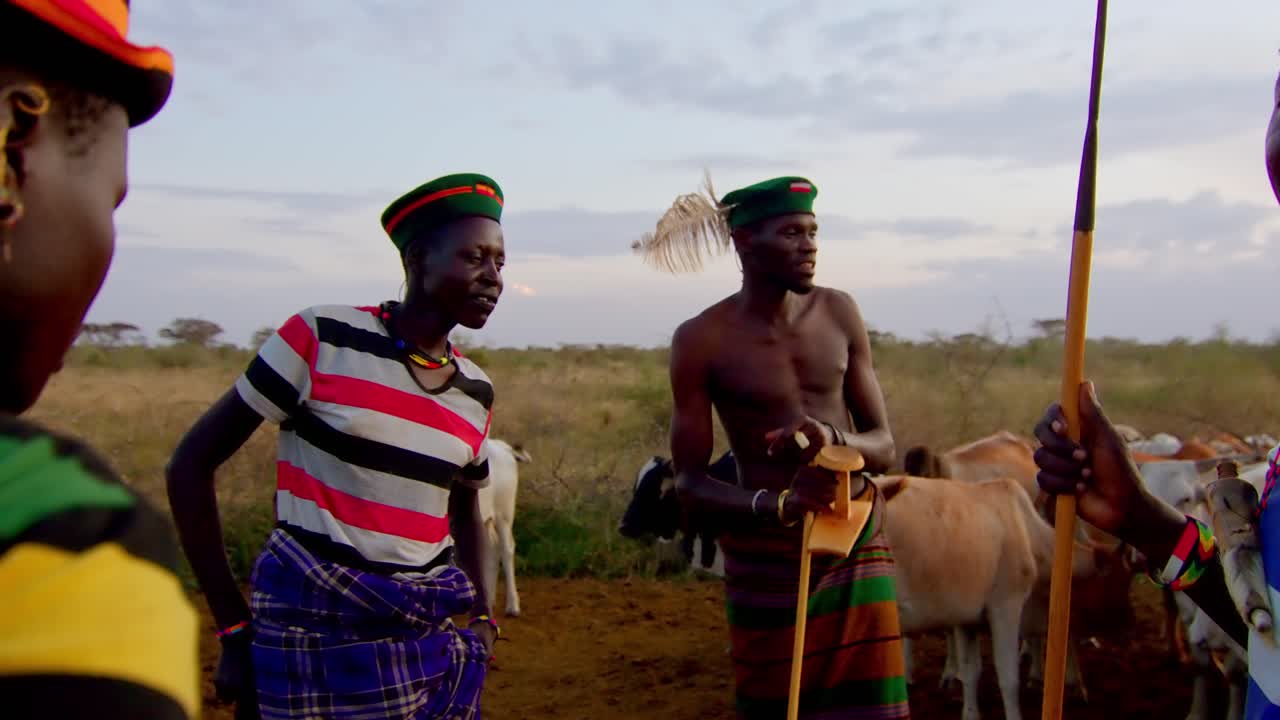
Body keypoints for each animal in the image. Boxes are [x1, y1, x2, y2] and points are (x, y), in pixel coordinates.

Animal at [479, 438, 530, 618]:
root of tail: (504, 447)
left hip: (504, 516)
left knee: (507, 550)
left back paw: (513, 606)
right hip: (485, 519)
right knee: (492, 550)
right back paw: (488, 600)